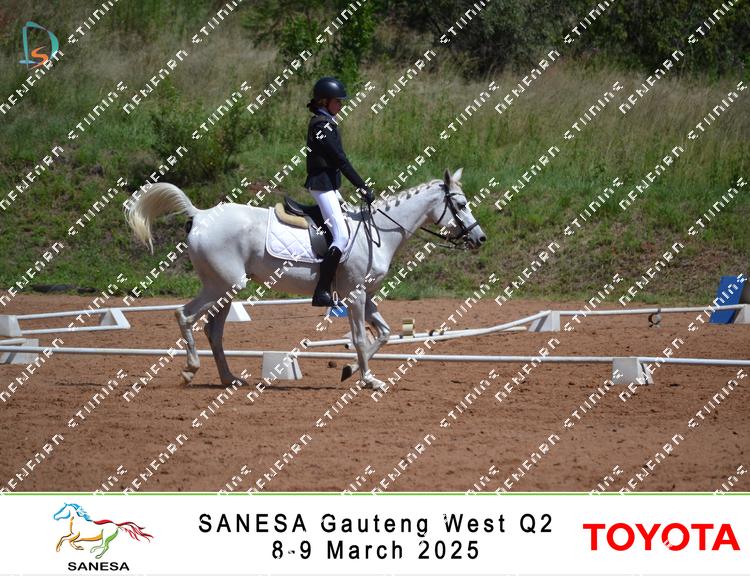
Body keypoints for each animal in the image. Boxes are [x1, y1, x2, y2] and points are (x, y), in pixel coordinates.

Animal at [125, 167, 486, 389]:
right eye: (461, 205)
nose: (480, 238)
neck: (379, 232)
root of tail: (200, 216)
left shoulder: (366, 295)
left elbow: (383, 334)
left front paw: (350, 370)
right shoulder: (355, 295)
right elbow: (359, 338)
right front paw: (368, 379)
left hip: (226, 289)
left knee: (214, 331)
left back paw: (229, 379)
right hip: (222, 286)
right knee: (184, 316)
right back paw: (190, 369)